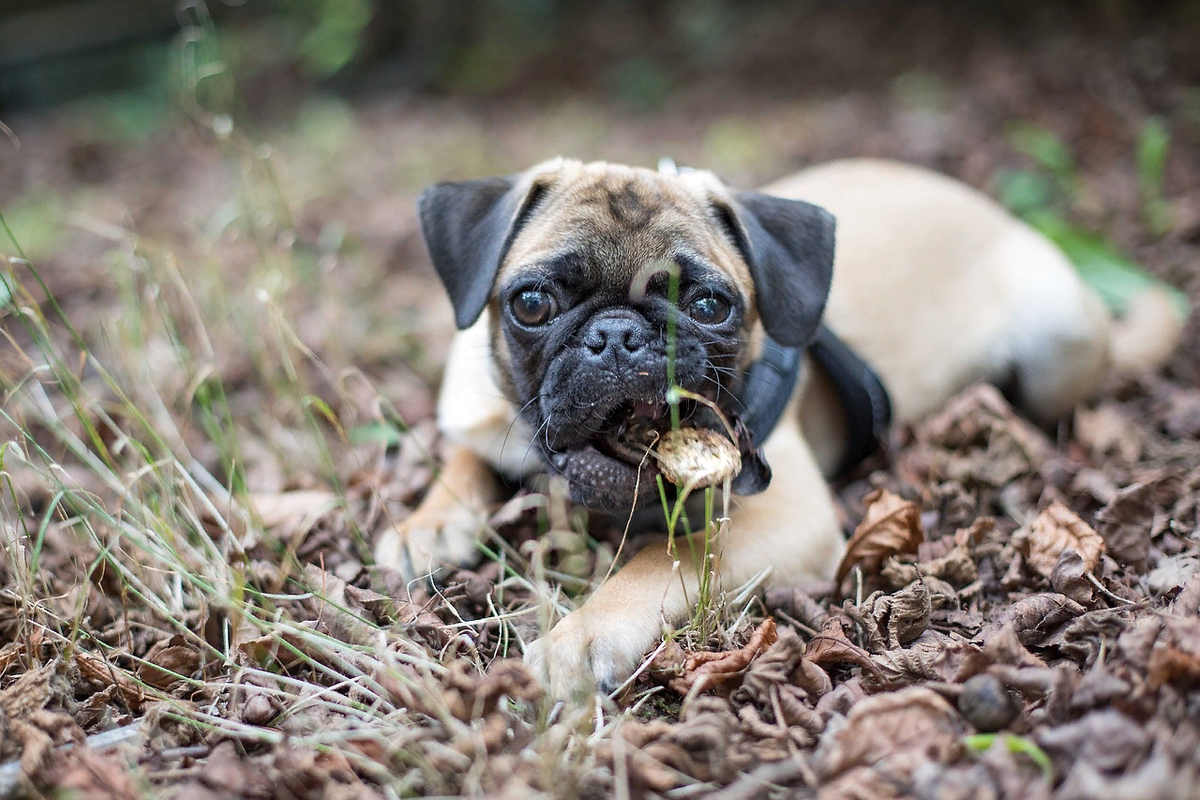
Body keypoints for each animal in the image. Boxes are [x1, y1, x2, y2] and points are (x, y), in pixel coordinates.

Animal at [379, 155, 1185, 700]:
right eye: (532, 303)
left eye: (709, 305)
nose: (619, 335)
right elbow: (463, 462)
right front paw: (427, 524)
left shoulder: (781, 520)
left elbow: (660, 560)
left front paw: (579, 637)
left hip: (1057, 340)